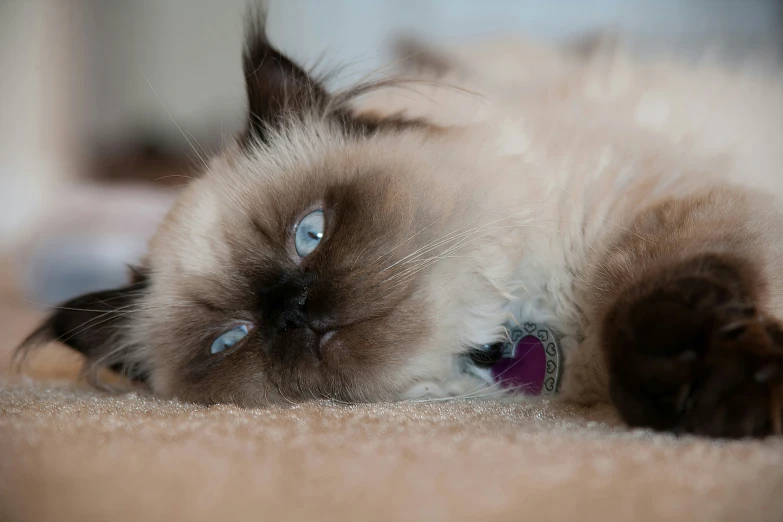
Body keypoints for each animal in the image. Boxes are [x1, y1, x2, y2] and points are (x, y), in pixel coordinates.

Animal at [18, 14, 783, 434]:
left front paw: (721, 393)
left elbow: (647, 299)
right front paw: (725, 397)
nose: (292, 310)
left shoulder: (652, 211)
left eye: (310, 232)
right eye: (229, 339)